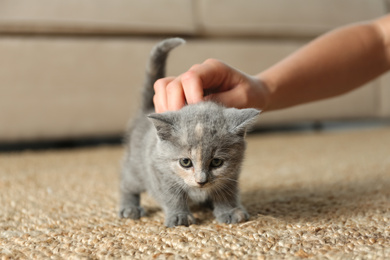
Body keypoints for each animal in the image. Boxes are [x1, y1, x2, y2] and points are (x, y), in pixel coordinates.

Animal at [119, 37, 258, 226]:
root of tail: (147, 110)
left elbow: (226, 191)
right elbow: (172, 195)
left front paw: (229, 210)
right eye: (185, 162)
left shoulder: (232, 174)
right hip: (137, 166)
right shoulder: (159, 172)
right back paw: (130, 207)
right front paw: (179, 216)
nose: (201, 181)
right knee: (127, 182)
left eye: (216, 162)